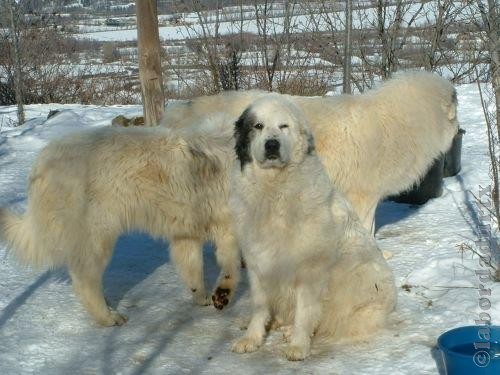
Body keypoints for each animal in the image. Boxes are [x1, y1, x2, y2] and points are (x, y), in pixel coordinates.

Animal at [0, 120, 242, 326]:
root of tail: (42, 161)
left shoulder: (187, 233)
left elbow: (194, 269)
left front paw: (202, 297)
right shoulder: (227, 228)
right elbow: (231, 266)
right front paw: (222, 294)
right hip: (98, 236)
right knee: (85, 282)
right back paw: (108, 317)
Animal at [230, 95, 398, 362]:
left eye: (283, 126)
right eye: (258, 126)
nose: (271, 145)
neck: (274, 190)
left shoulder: (309, 269)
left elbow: (305, 311)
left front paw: (299, 345)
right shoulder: (258, 262)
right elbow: (259, 306)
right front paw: (252, 338)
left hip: (359, 276)